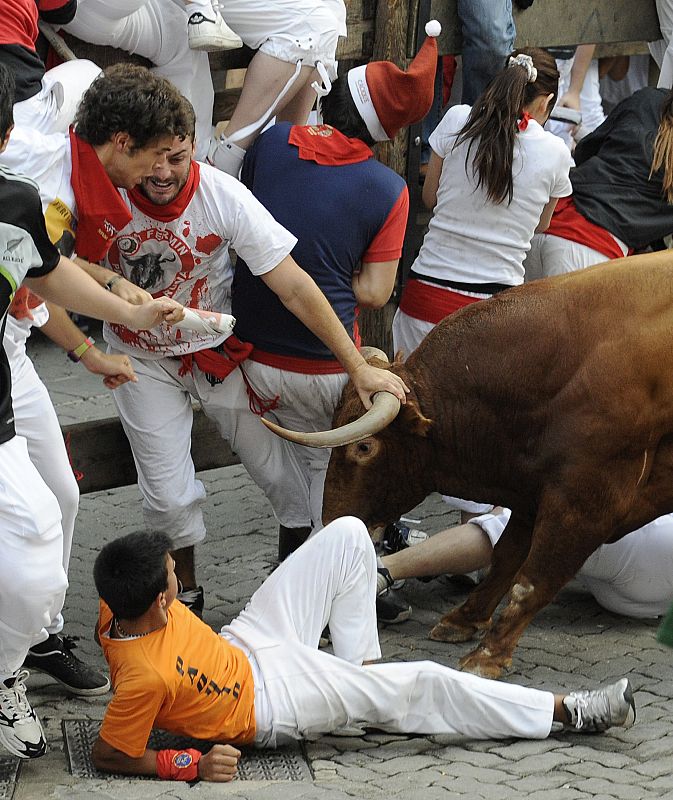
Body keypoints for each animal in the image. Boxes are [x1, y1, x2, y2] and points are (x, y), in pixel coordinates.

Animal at [262, 253, 673, 680]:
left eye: (364, 447)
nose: (332, 521)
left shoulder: (585, 500)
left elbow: (534, 580)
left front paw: (488, 654)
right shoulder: (531, 489)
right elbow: (506, 555)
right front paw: (464, 619)